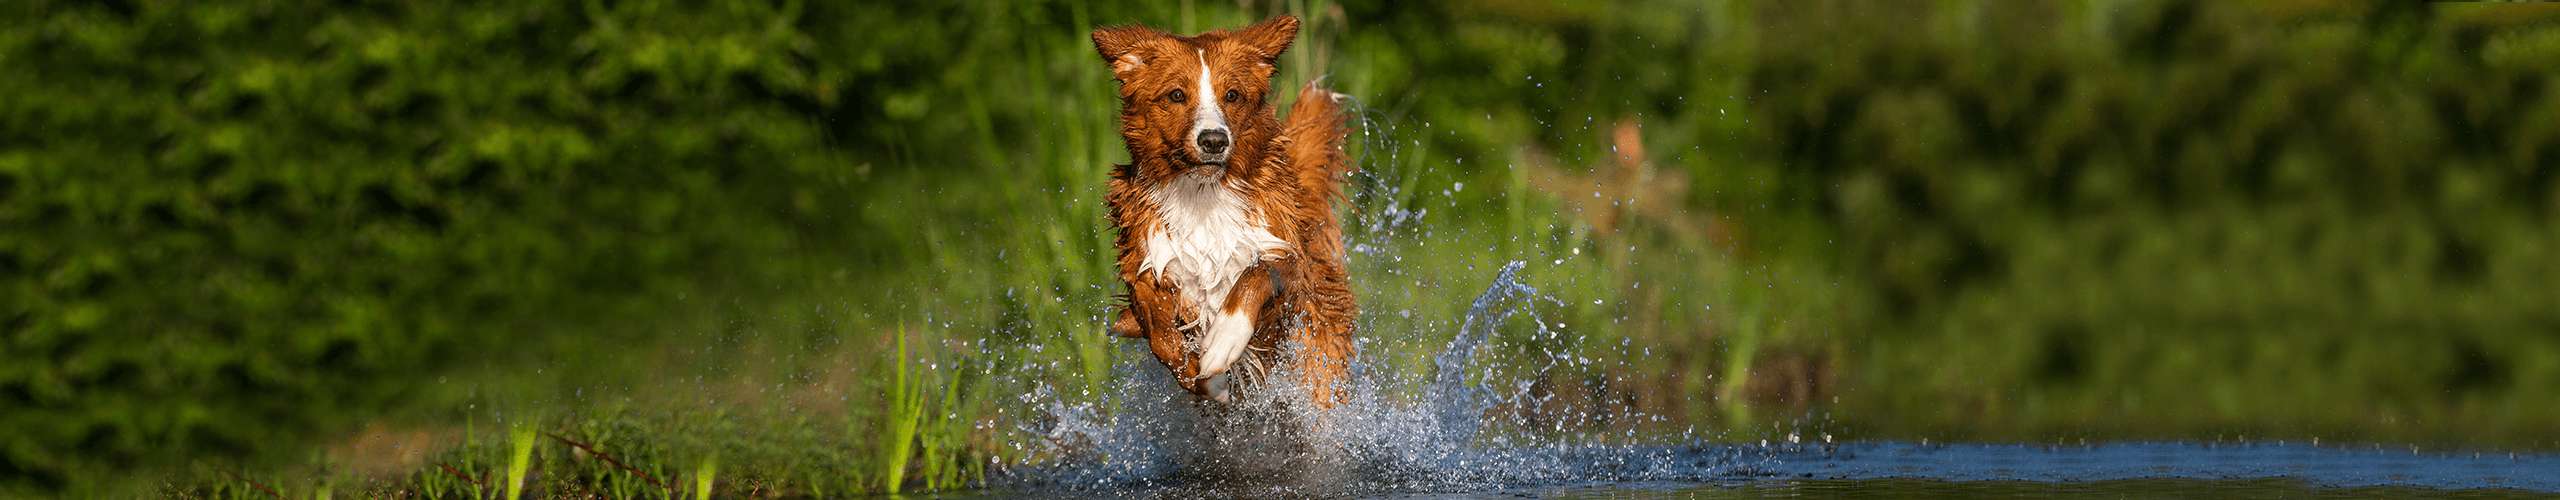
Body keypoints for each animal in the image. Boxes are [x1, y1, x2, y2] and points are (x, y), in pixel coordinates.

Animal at [1085, 16, 1361, 405]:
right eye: (1176, 95)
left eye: (1232, 95)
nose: (1214, 140)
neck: (1203, 198)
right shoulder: (1146, 266)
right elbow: (1157, 326)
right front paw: (1203, 376)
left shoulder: (1292, 268)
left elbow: (1258, 272)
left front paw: (1224, 340)